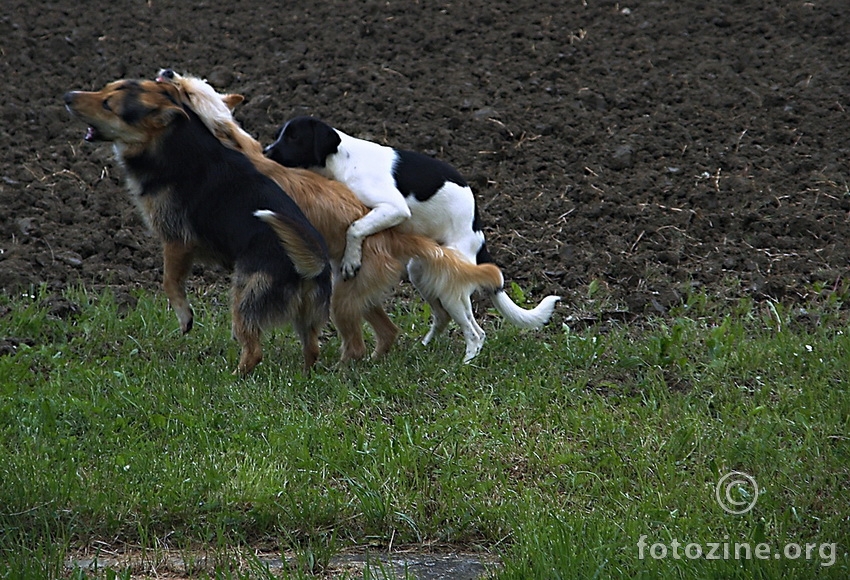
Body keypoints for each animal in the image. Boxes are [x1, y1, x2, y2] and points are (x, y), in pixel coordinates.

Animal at [62, 79, 328, 374]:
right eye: (105, 88)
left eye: (108, 105)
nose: (68, 96)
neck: (172, 140)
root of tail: (311, 265)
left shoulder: (177, 240)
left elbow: (169, 281)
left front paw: (185, 318)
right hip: (307, 316)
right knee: (312, 348)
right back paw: (304, 375)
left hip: (245, 296)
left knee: (254, 350)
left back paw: (235, 375)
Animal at [264, 117, 556, 342]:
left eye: (294, 137)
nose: (265, 152)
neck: (343, 160)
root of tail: (479, 234)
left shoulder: (394, 208)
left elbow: (356, 228)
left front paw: (351, 260)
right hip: (422, 272)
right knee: (447, 317)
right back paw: (426, 346)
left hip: (451, 282)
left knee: (475, 331)